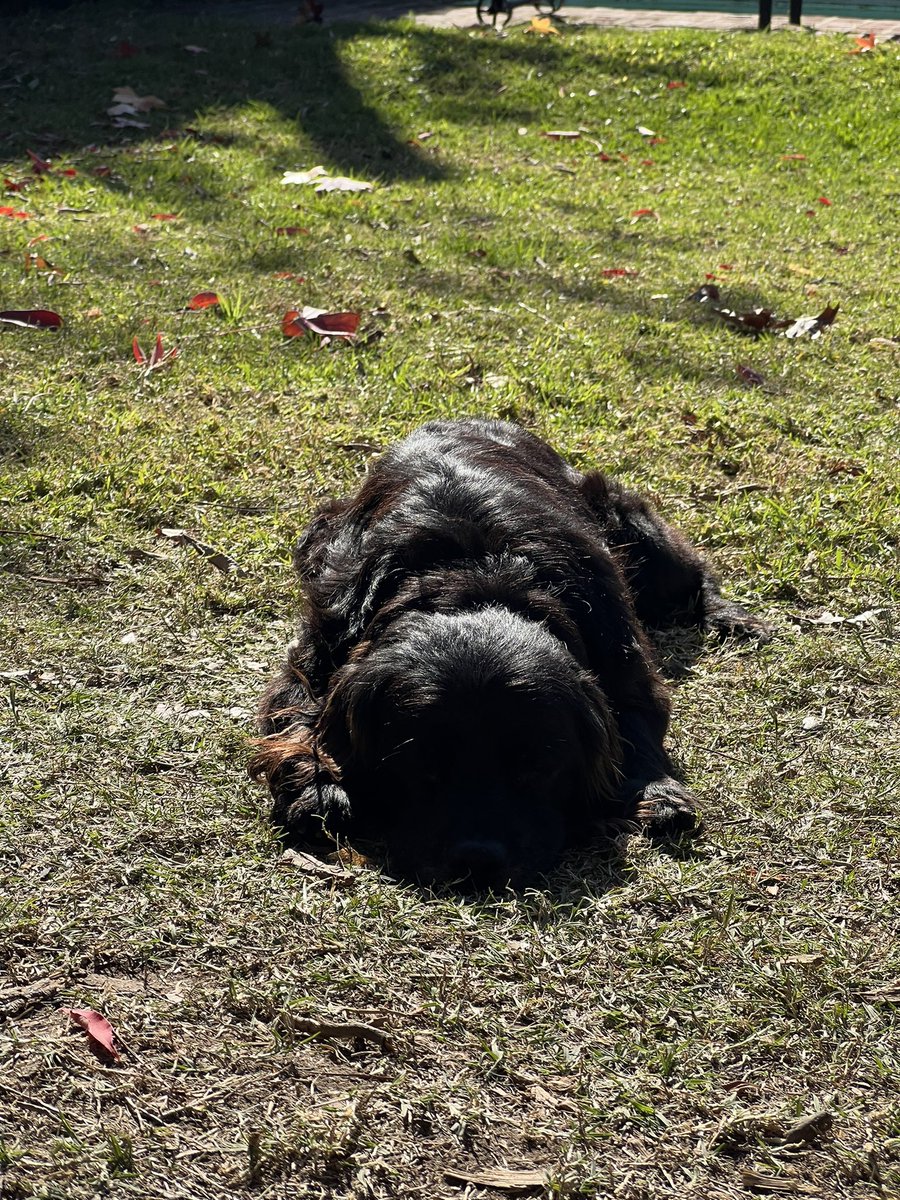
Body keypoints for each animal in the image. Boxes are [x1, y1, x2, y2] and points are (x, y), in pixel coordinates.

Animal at [251, 419, 769, 888]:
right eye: (420, 765)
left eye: (537, 766)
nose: (478, 860)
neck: (476, 576)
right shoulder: (322, 646)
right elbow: (297, 715)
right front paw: (319, 788)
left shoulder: (621, 655)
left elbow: (636, 725)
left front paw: (658, 793)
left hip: (638, 536)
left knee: (694, 574)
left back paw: (733, 617)